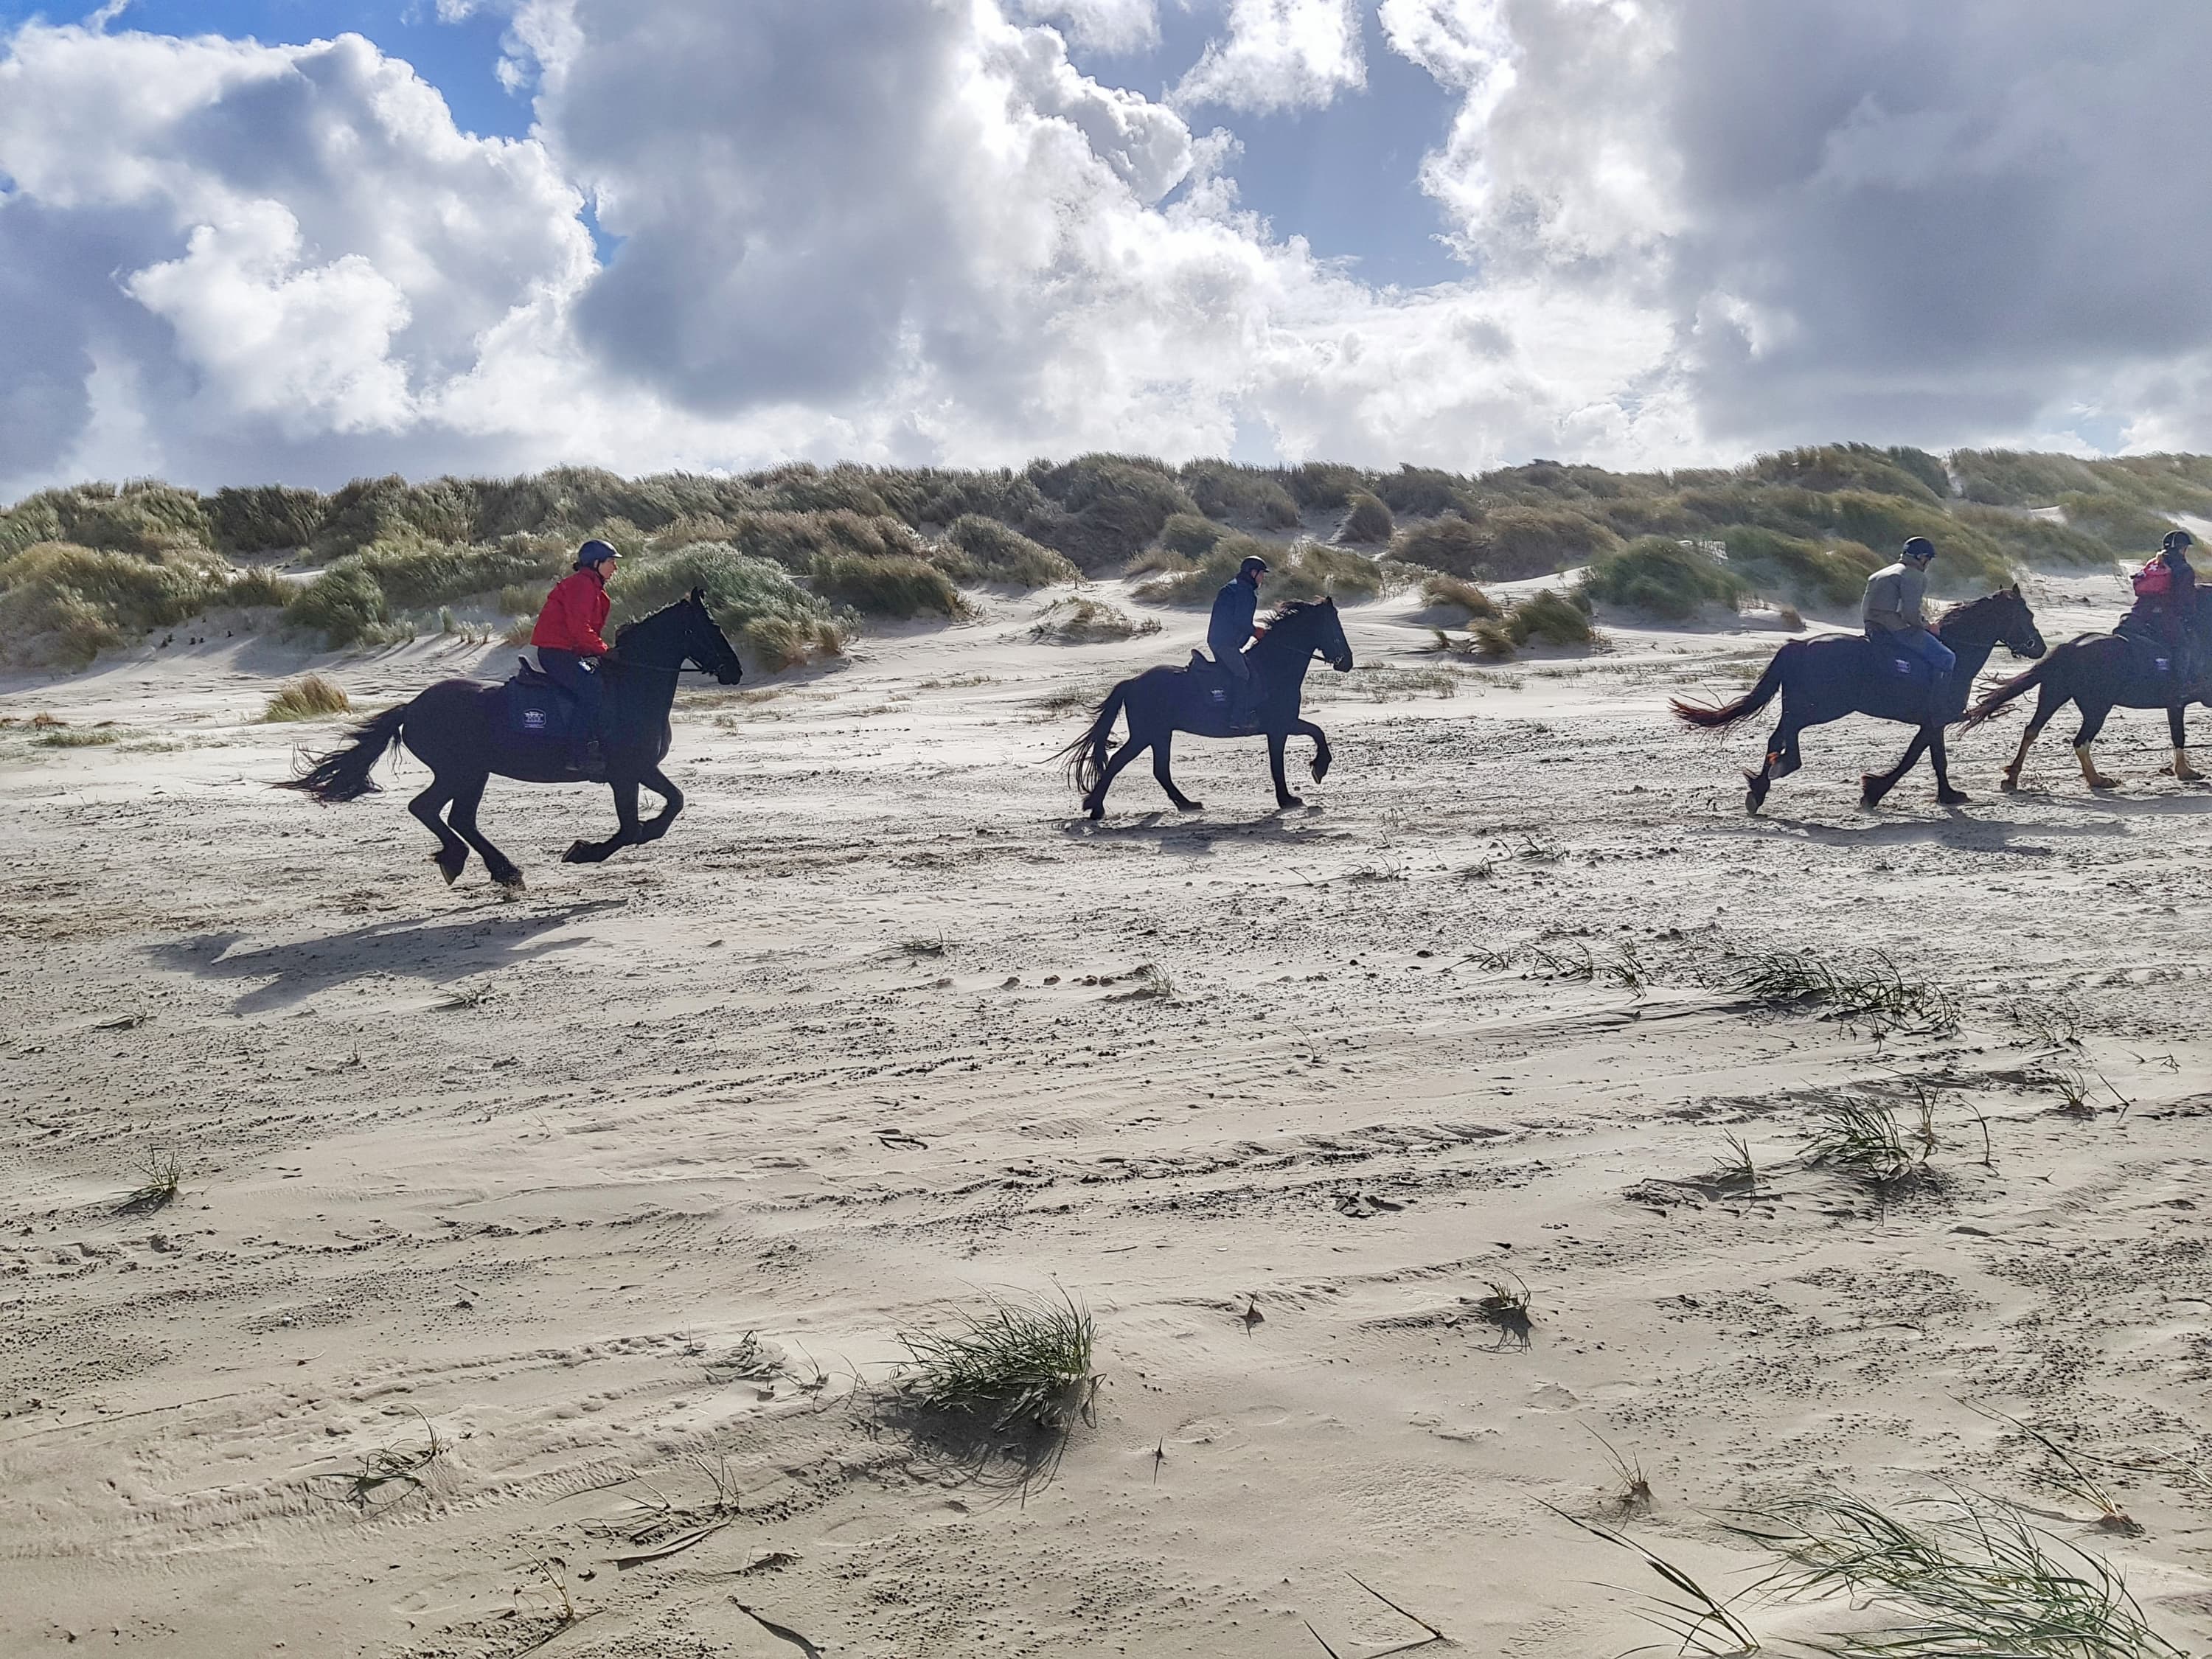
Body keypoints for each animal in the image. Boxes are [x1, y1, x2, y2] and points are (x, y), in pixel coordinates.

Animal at [273, 593, 743, 889]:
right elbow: (633, 827)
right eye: (711, 627)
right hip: (461, 771)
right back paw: (483, 864)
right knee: (429, 810)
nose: (735, 671)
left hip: (472, 773)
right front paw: (584, 852)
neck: (630, 687)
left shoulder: (643, 770)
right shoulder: (628, 774)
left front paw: (627, 836)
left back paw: (492, 868)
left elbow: (668, 807)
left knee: (455, 817)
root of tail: (412, 708)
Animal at [1053, 606, 1345, 827]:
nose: (1347, 661)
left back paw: (1186, 804)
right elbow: (1306, 741)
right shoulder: (1281, 726)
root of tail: (1133, 683)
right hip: (1147, 735)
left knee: (1159, 770)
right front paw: (1310, 777)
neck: (1274, 668)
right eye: (1334, 628)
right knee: (1118, 763)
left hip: (1159, 735)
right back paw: (1096, 808)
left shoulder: (1282, 727)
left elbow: (1309, 738)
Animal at [1672, 588, 2053, 814]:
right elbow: (1916, 760)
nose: (2040, 648)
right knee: (1786, 735)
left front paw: (1946, 794)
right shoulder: (1934, 721)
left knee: (1778, 737)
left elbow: (1934, 760)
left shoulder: (1934, 723)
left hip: (1803, 705)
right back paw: (1776, 773)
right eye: (2027, 616)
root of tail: (1798, 646)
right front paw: (1874, 791)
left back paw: (1762, 785)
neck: (1955, 652)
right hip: (1821, 708)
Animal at [1964, 584, 2212, 792]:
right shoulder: (2178, 704)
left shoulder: (2176, 705)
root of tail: (2069, 648)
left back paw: (2013, 777)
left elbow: (2178, 734)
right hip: (2096, 709)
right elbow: (2179, 735)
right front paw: (2185, 772)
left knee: (2032, 730)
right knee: (2080, 741)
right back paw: (2097, 779)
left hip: (2053, 696)